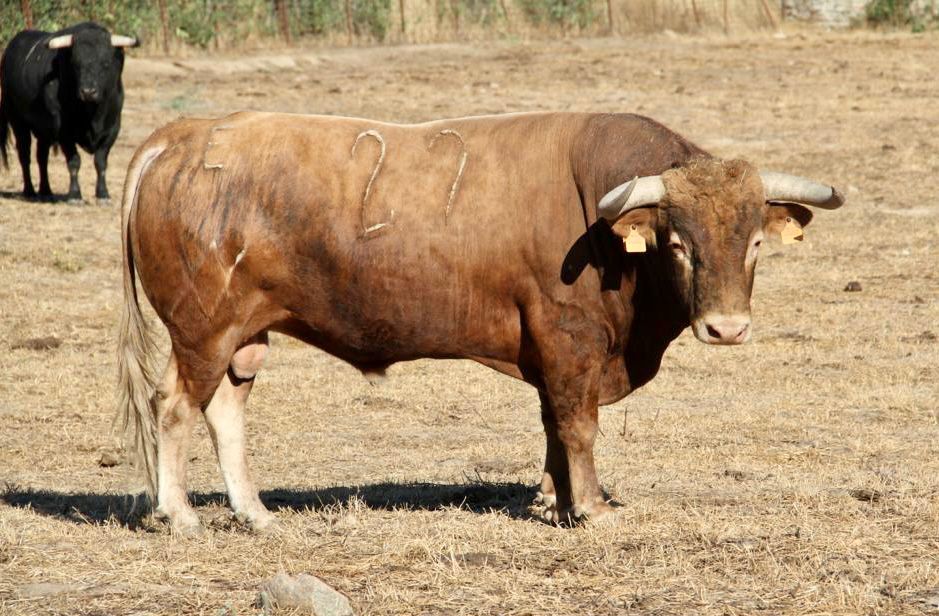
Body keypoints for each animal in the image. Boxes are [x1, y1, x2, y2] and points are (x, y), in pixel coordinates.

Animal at [0, 22, 138, 202]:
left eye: (106, 64)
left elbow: (100, 162)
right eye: (76, 64)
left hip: (44, 130)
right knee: (25, 155)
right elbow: (74, 162)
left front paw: (103, 194)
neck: (92, 114)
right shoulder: (64, 132)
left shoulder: (112, 129)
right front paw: (75, 194)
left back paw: (46, 190)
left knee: (41, 157)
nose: (88, 91)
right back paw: (29, 190)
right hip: (18, 122)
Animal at [116, 111, 844, 535]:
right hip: (202, 330)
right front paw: (590, 507)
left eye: (753, 242)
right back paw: (179, 515)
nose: (726, 328)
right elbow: (577, 425)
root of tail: (182, 136)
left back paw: (256, 513)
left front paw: (554, 501)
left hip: (243, 336)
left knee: (224, 410)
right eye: (678, 244)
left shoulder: (552, 354)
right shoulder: (569, 341)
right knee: (174, 407)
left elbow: (553, 425)